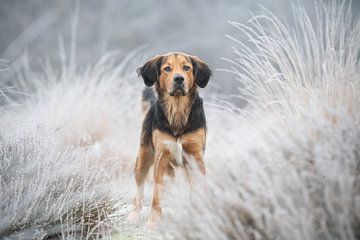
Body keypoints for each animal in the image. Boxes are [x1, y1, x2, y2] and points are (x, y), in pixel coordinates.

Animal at [129, 51, 211, 226]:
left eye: (186, 67)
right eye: (167, 69)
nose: (179, 79)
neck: (178, 110)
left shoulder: (196, 156)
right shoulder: (161, 155)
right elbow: (155, 196)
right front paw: (153, 223)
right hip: (143, 158)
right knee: (139, 190)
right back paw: (134, 215)